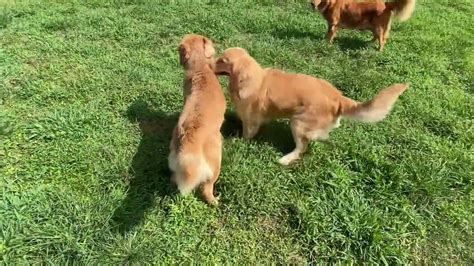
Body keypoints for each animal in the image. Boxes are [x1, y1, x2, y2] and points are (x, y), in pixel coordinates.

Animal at [215, 47, 408, 165]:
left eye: (221, 60)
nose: (210, 64)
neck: (255, 78)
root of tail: (338, 98)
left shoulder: (251, 122)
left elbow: (246, 135)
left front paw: (236, 142)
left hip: (297, 122)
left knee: (302, 148)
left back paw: (286, 159)